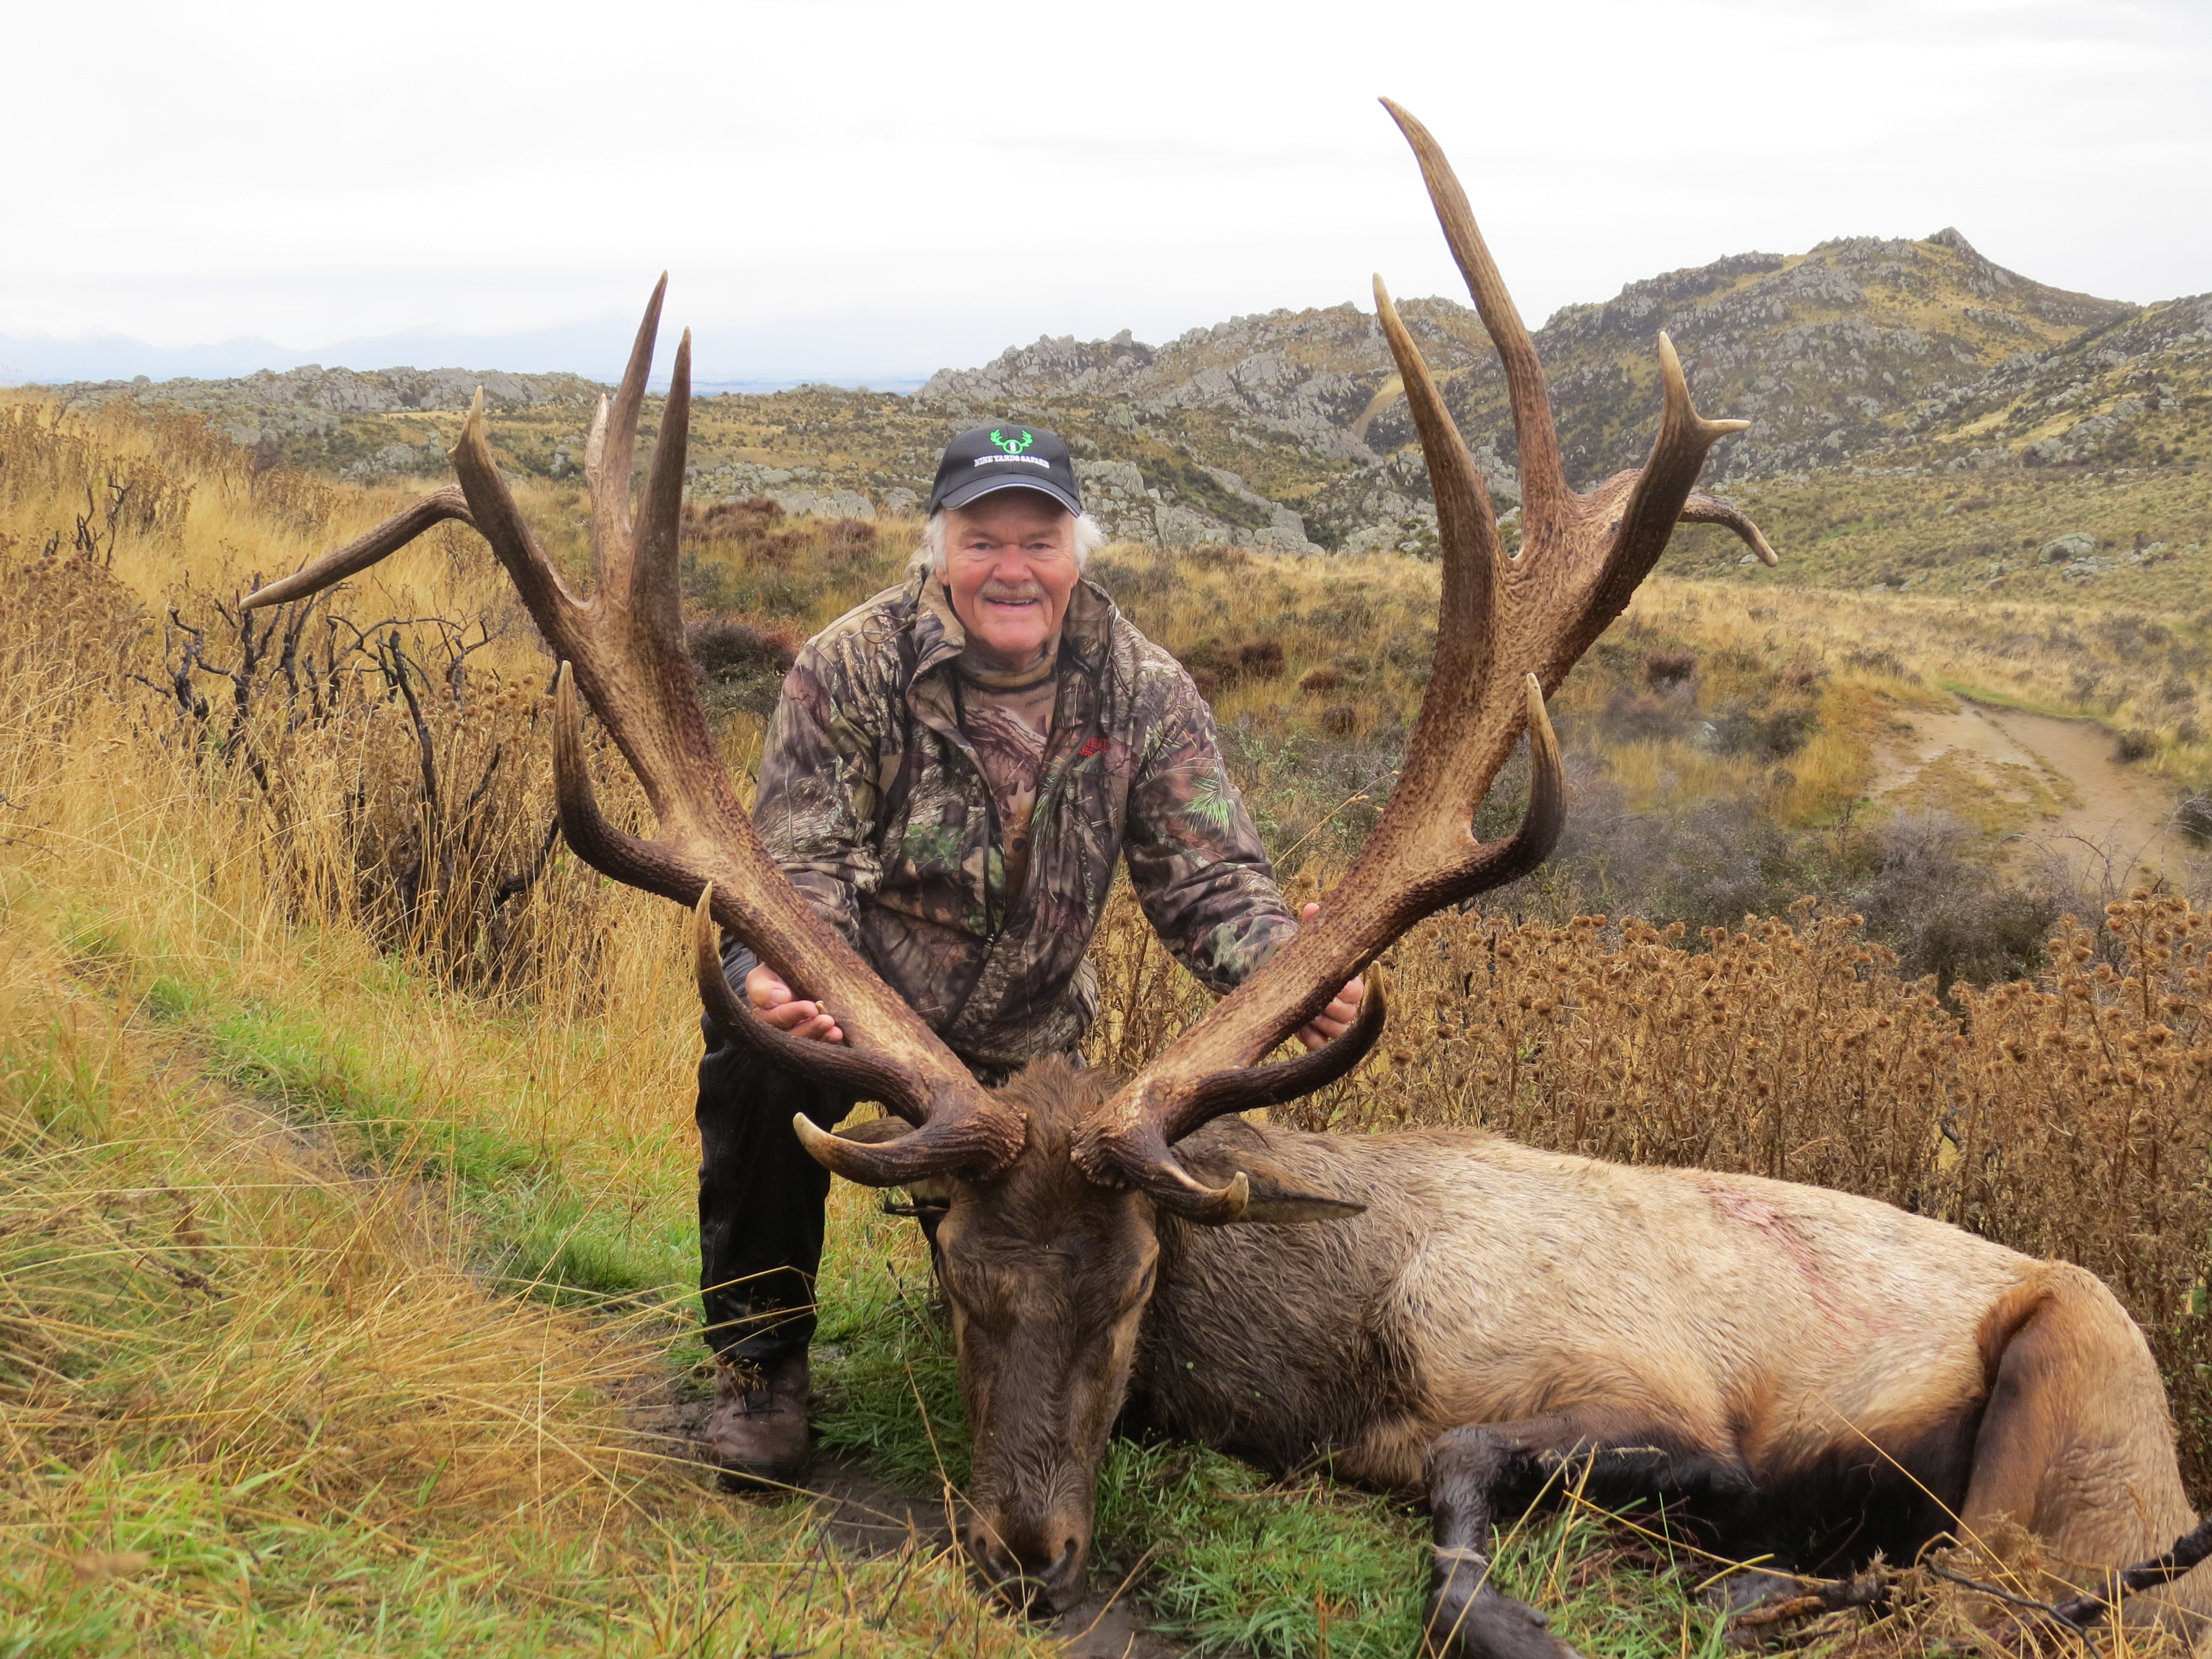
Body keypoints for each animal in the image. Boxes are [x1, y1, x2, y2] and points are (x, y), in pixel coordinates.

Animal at [244, 101, 2212, 1658]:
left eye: (1132, 1292)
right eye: (960, 1286)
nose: (1025, 1554)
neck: (1345, 1356)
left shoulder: (1634, 1381)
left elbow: (1521, 1481)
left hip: (2089, 1389)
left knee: (2006, 1588)